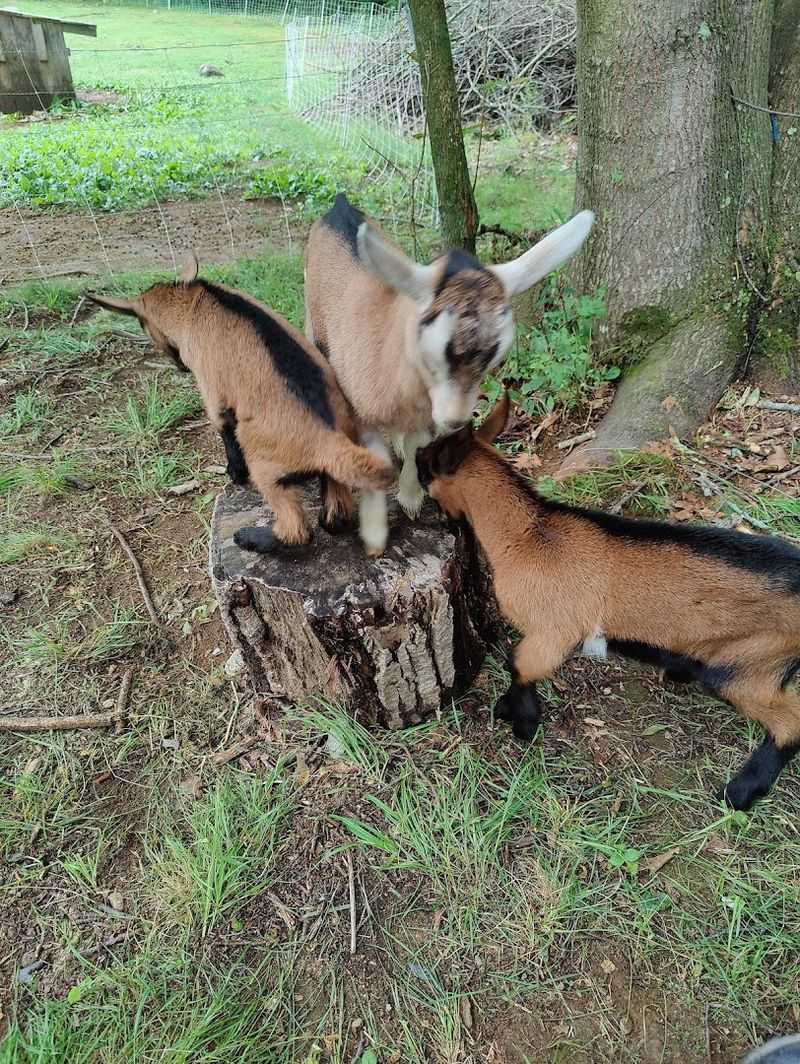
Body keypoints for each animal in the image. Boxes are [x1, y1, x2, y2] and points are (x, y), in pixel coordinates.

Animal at [87, 255, 395, 554]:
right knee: (334, 514)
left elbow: (223, 428)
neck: (192, 302)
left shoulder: (213, 392)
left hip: (264, 463)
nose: (179, 367)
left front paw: (234, 474)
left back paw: (250, 539)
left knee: (296, 531)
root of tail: (330, 438)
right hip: (333, 466)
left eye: (141, 323)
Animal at [304, 193, 593, 555]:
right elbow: (374, 461)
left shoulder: (425, 412)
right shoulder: (359, 404)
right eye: (436, 343)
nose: (456, 420)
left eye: (495, 352)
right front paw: (374, 537)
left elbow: (416, 443)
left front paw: (411, 499)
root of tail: (338, 204)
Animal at [416, 392, 800, 810]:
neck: (526, 536)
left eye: (424, 469)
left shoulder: (553, 632)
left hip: (749, 664)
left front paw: (522, 722)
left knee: (790, 723)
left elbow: (518, 664)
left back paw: (739, 792)